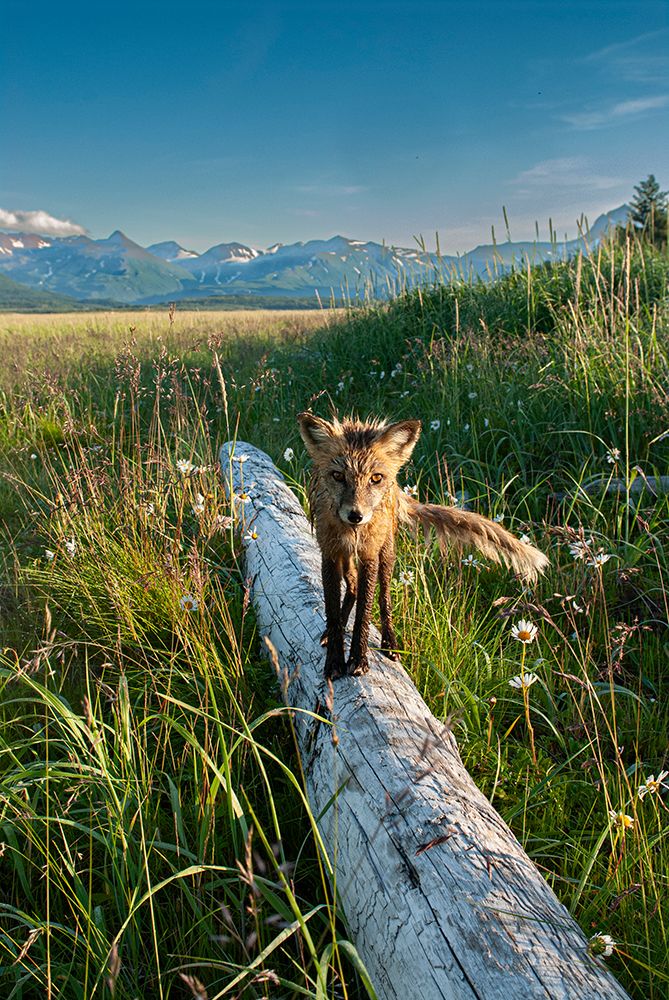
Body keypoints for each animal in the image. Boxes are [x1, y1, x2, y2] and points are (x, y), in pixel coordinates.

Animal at [297, 412, 549, 679]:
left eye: (375, 478)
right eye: (337, 476)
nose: (356, 515)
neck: (352, 533)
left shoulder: (370, 554)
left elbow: (365, 613)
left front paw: (358, 659)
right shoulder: (330, 553)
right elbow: (333, 613)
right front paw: (335, 660)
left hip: (386, 553)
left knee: (383, 598)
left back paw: (390, 642)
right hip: (347, 558)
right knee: (353, 588)